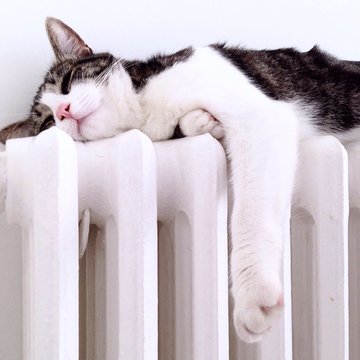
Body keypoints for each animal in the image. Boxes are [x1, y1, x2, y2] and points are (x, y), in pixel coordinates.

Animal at [1, 17, 358, 344]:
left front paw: (253, 295)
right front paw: (202, 123)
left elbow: (250, 215)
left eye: (67, 82)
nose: (63, 111)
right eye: (48, 123)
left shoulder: (260, 118)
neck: (145, 108)